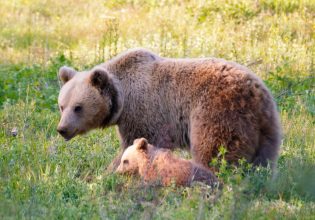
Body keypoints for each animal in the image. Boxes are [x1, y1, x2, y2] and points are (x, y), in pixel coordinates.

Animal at [58, 48, 282, 170]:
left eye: (78, 107)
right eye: (62, 106)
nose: (62, 129)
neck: (122, 98)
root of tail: (254, 92)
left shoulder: (143, 112)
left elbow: (134, 144)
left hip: (217, 111)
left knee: (215, 152)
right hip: (266, 127)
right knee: (263, 161)